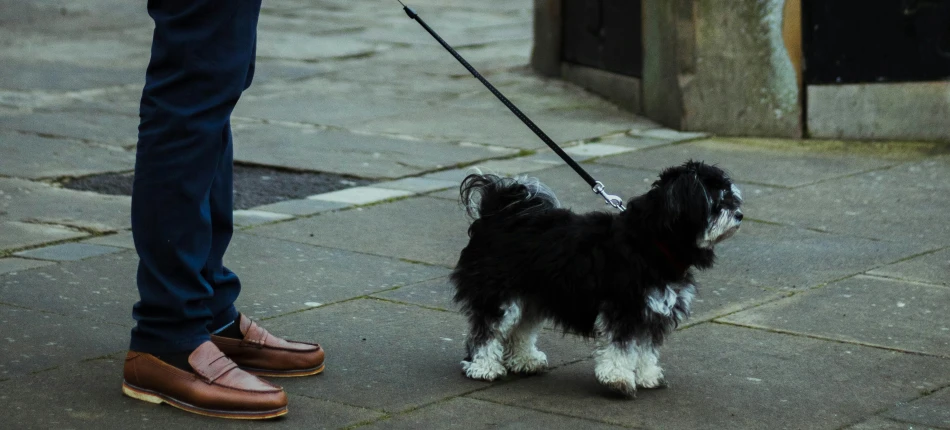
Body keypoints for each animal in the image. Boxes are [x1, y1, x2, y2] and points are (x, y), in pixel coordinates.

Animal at [452, 160, 744, 396]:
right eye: (718, 200)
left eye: (732, 197)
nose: (740, 214)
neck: (652, 241)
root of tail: (495, 214)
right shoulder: (624, 309)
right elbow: (622, 348)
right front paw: (618, 379)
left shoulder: (652, 312)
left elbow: (645, 349)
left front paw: (647, 375)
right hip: (499, 295)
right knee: (487, 331)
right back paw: (483, 366)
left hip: (531, 296)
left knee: (521, 329)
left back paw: (525, 360)